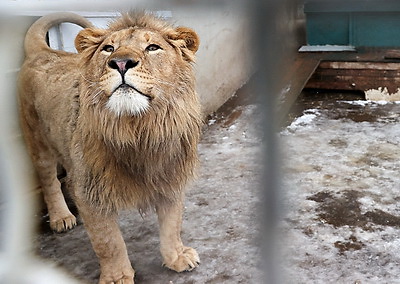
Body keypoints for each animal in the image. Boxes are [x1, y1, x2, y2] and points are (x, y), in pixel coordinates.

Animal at [17, 11, 202, 284]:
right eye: (109, 49)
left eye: (152, 47)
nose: (121, 63)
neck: (138, 130)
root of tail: (42, 51)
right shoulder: (88, 191)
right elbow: (108, 241)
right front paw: (116, 277)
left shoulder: (170, 177)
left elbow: (172, 224)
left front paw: (177, 257)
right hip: (38, 143)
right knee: (50, 181)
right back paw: (61, 217)